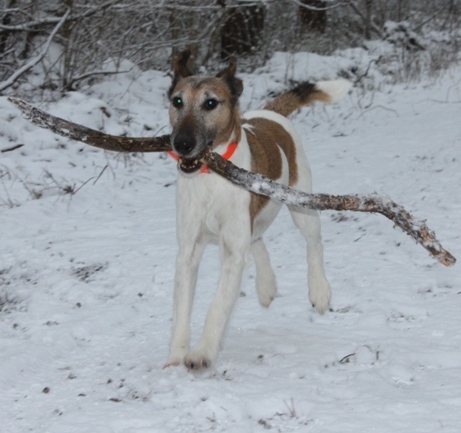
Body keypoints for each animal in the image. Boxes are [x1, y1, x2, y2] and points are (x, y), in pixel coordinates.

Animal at [164, 50, 348, 368]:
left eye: (210, 103)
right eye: (177, 101)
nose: (182, 143)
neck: (210, 176)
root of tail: (271, 112)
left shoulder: (232, 253)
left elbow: (218, 305)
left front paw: (202, 353)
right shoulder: (188, 250)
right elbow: (182, 307)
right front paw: (176, 356)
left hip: (301, 204)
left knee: (314, 244)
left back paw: (319, 290)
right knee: (258, 239)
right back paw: (266, 286)